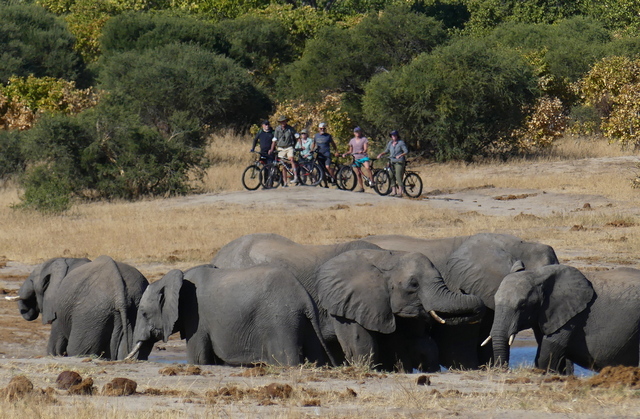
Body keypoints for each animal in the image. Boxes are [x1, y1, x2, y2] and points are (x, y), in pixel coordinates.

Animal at [12, 255, 151, 360]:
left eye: (31, 281)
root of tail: (119, 294)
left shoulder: (57, 306)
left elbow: (55, 346)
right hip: (133, 310)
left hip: (90, 315)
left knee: (78, 349)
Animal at [127, 264, 334, 366]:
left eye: (144, 314)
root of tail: (304, 297)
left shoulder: (195, 315)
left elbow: (198, 358)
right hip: (303, 321)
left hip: (282, 321)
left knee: (286, 358)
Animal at [315, 249, 485, 371]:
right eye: (414, 284)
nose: (462, 289)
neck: (387, 260)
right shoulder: (346, 303)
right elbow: (361, 343)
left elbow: (400, 342)